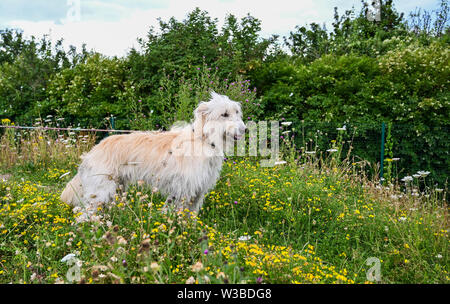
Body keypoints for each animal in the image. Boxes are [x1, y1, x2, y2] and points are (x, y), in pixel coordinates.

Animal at [60, 92, 246, 221]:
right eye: (224, 114)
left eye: (237, 112)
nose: (245, 129)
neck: (204, 140)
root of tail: (92, 151)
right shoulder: (182, 190)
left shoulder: (197, 192)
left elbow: (190, 218)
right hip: (101, 192)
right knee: (82, 217)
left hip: (116, 190)